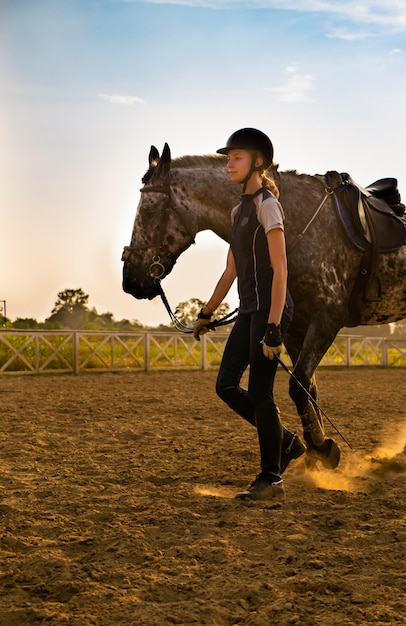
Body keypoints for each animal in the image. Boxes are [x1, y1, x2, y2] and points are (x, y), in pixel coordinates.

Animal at [121, 143, 406, 468]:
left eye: (148, 211)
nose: (130, 280)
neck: (297, 221)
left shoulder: (327, 317)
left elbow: (298, 385)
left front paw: (320, 447)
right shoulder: (294, 326)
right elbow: (307, 387)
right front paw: (315, 448)